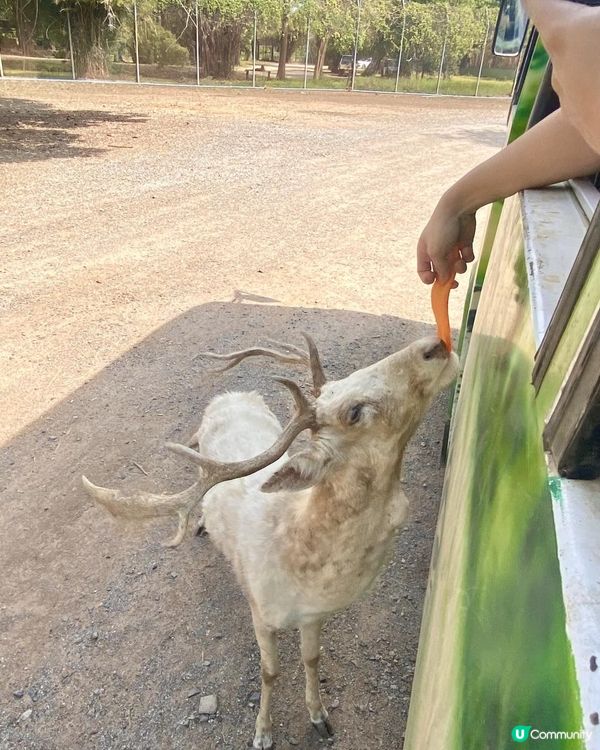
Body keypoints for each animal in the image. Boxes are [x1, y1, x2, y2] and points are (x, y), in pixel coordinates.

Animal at [82, 333, 458, 749]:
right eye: (354, 411)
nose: (434, 344)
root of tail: (230, 393)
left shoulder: (313, 615)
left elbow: (312, 659)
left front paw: (320, 717)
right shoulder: (259, 611)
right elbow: (270, 672)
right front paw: (262, 733)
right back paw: (201, 524)